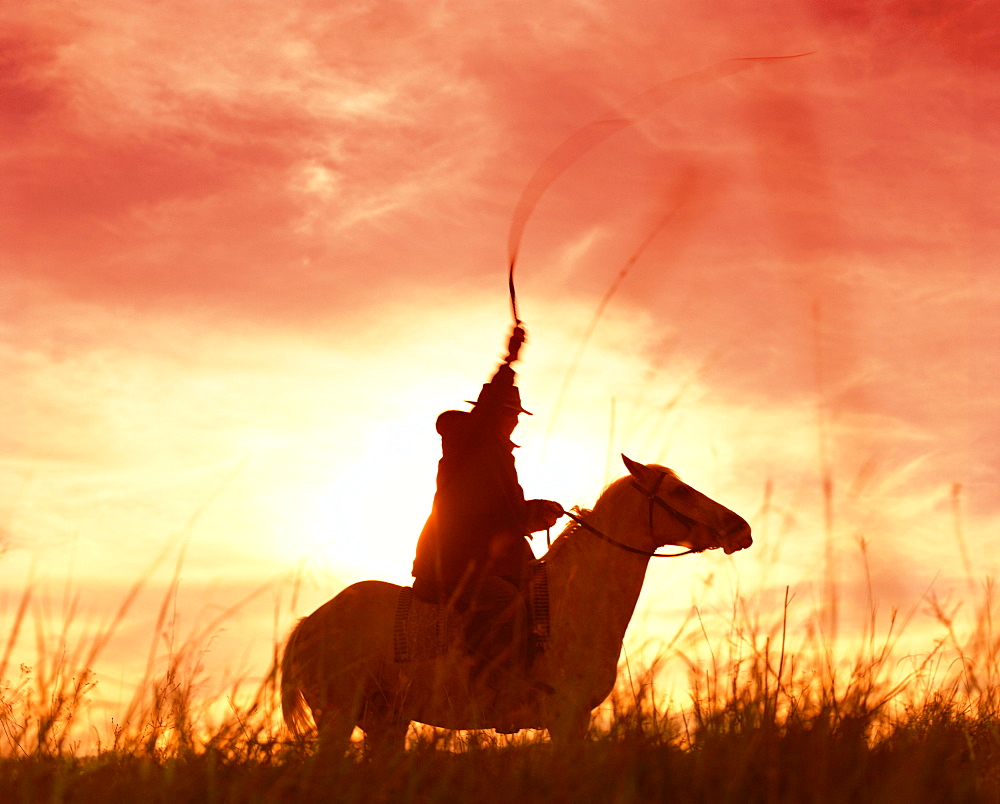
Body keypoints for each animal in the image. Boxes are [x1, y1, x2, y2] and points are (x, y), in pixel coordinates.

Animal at [280, 456, 752, 752]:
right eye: (679, 490)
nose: (740, 529)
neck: (574, 600)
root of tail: (310, 623)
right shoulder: (567, 717)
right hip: (338, 718)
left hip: (385, 722)